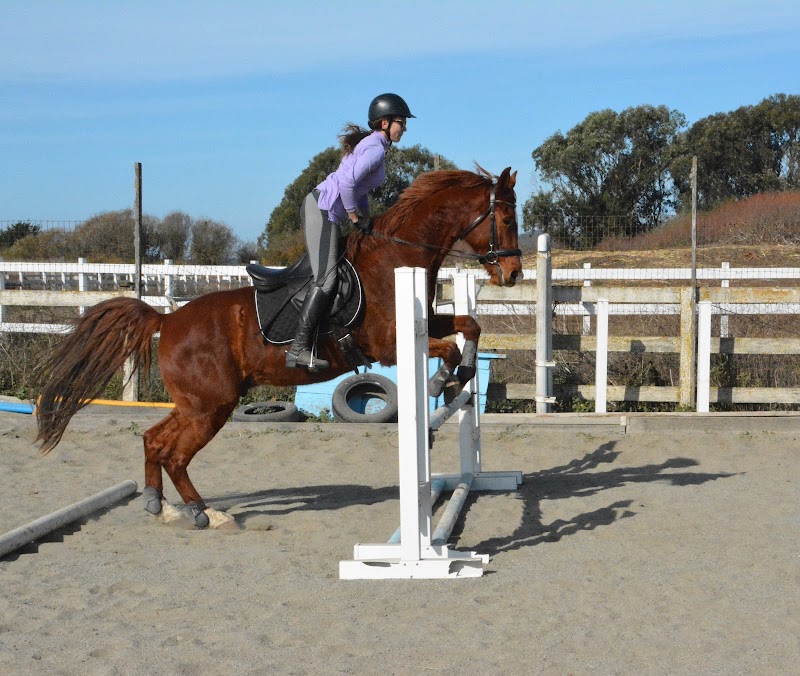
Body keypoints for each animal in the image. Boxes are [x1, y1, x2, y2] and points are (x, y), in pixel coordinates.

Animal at [34, 166, 522, 528]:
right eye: (505, 220)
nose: (514, 274)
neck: (395, 257)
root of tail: (168, 319)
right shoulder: (390, 344)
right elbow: (448, 349)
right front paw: (444, 380)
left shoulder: (427, 321)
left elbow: (470, 324)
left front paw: (463, 375)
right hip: (212, 406)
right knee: (174, 454)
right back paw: (204, 513)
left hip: (198, 402)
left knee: (154, 439)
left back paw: (160, 504)